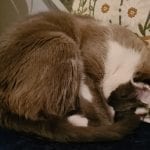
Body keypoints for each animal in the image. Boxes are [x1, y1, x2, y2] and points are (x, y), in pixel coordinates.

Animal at [0, 10, 149, 142]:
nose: (114, 108)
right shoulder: (87, 72)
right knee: (47, 114)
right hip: (64, 42)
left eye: (126, 112)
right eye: (126, 108)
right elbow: (104, 116)